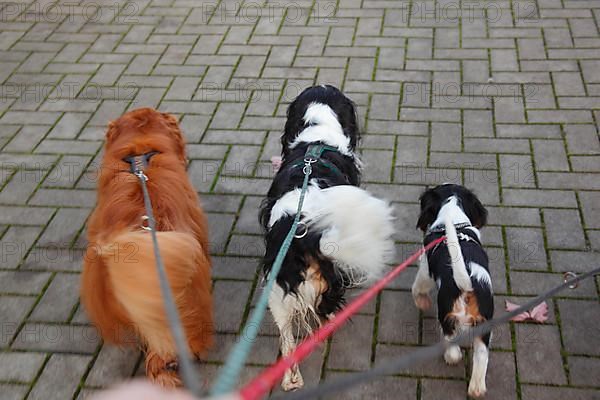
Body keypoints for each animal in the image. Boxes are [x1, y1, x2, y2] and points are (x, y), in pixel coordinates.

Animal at [260, 85, 396, 390]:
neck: (317, 136)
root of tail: (303, 234)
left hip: (277, 289)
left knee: (287, 338)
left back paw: (291, 378)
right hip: (328, 276)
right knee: (325, 307)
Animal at [412, 184, 492, 396]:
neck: (453, 219)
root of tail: (467, 285)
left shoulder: (425, 271)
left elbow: (417, 288)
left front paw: (422, 302)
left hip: (446, 313)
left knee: (452, 343)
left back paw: (450, 356)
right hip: (485, 324)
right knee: (482, 354)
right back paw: (476, 389)